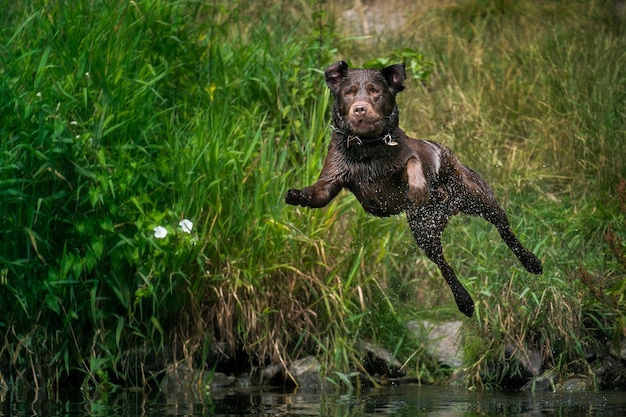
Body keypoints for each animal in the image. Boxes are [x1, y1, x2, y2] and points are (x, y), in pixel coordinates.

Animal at [284, 61, 540, 316]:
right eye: (348, 93)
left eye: (375, 91)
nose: (359, 109)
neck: (368, 149)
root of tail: (449, 210)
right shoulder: (333, 176)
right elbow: (318, 193)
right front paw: (296, 195)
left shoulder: (406, 154)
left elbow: (413, 164)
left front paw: (419, 190)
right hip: (424, 232)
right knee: (444, 265)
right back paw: (464, 301)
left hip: (478, 196)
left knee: (504, 230)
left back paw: (531, 262)